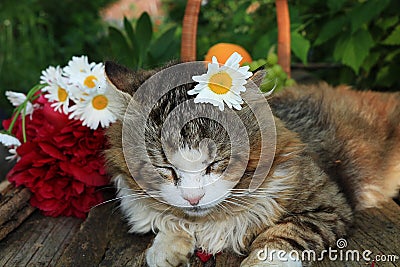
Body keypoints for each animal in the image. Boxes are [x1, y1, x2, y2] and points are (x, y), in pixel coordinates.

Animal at [104, 61, 400, 267]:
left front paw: (261, 260)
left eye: (216, 163)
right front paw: (165, 247)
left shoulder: (328, 203)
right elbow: (171, 222)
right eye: (165, 168)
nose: (193, 198)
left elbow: (283, 235)